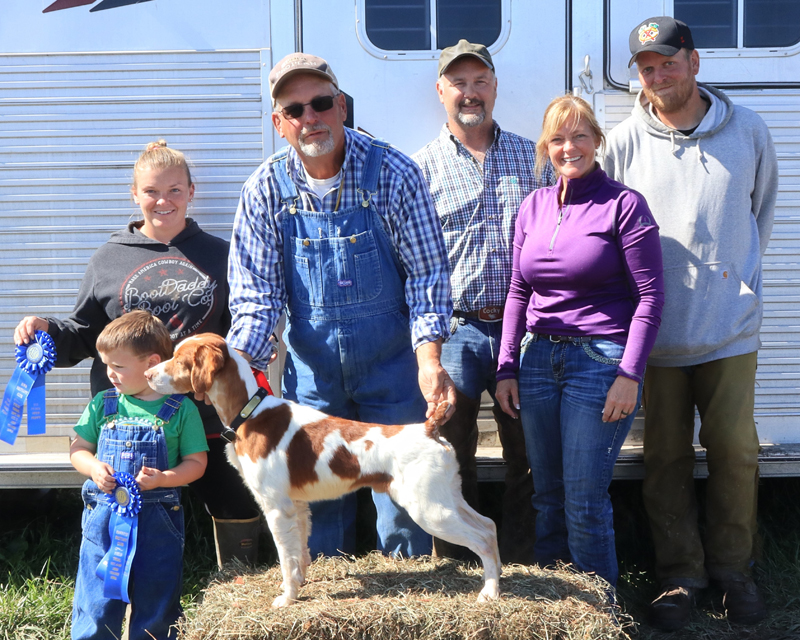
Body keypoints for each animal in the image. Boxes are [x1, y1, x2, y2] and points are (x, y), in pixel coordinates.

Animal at [145, 332, 500, 608]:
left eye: (179, 360)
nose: (148, 373)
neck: (250, 411)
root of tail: (428, 428)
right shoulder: (298, 505)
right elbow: (300, 553)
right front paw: (298, 585)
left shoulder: (277, 507)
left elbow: (286, 558)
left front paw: (286, 598)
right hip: (446, 497)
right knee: (489, 525)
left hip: (428, 508)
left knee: (481, 538)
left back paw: (490, 592)